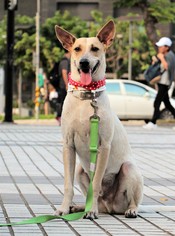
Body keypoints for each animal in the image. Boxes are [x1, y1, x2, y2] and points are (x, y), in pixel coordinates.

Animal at [55, 20, 144, 219]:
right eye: (77, 49)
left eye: (95, 48)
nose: (84, 62)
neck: (86, 96)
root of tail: (110, 206)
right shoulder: (67, 145)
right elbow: (67, 185)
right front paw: (64, 208)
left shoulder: (103, 146)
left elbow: (95, 184)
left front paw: (91, 211)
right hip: (80, 170)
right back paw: (80, 207)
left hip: (129, 169)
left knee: (132, 200)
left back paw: (129, 210)